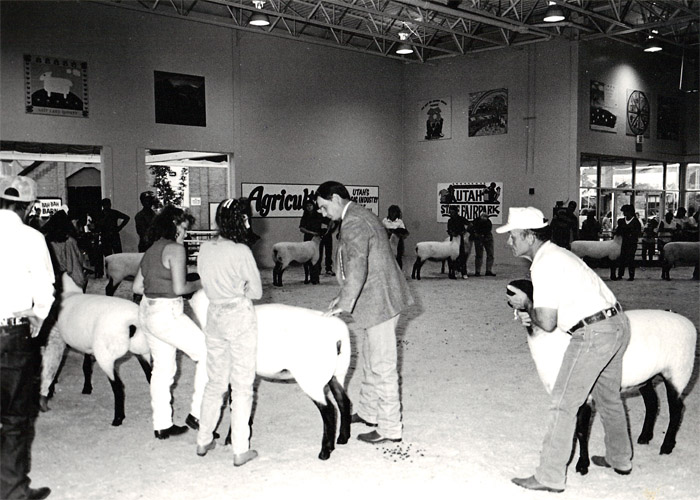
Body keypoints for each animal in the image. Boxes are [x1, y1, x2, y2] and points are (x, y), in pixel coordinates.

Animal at [40, 273, 152, 426]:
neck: (69, 293)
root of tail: (132, 323)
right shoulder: (87, 347)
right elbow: (86, 366)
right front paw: (87, 388)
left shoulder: (58, 340)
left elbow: (54, 368)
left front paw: (50, 391)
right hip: (142, 351)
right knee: (152, 377)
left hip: (106, 356)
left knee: (118, 387)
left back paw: (118, 418)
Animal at [188, 289, 351, 460]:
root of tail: (338, 335)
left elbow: (234, 405)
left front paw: (230, 439)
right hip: (337, 373)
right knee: (344, 401)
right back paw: (343, 438)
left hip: (311, 378)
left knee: (329, 410)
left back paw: (325, 451)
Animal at [508, 279, 696, 475]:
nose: (510, 288)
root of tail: (684, 321)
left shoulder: (585, 394)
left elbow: (581, 430)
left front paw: (582, 465)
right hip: (646, 377)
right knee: (652, 403)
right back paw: (644, 437)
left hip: (677, 372)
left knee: (677, 409)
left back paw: (667, 446)